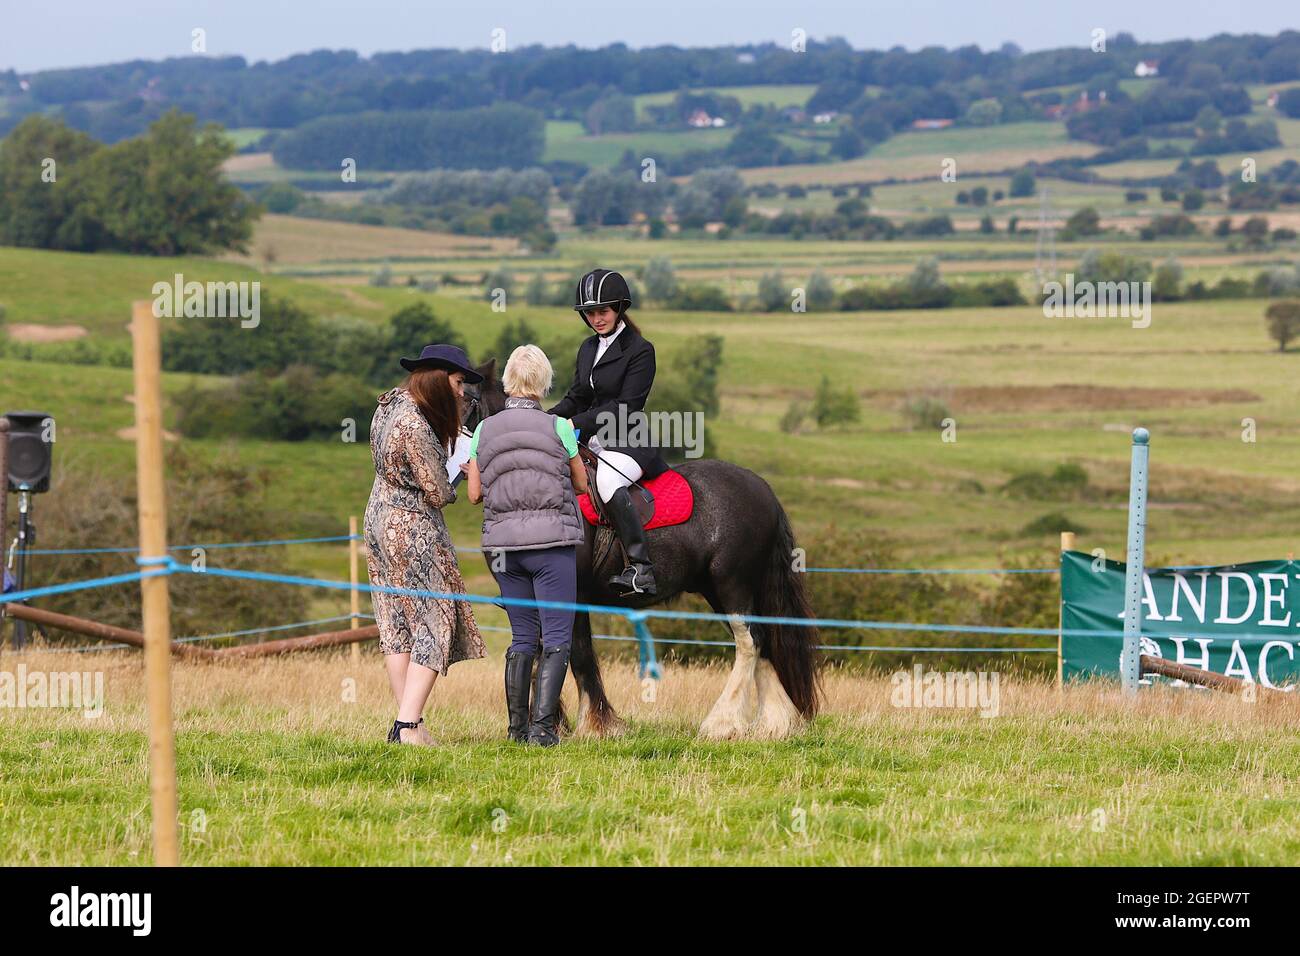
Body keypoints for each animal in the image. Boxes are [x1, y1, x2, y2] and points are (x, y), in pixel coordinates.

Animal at [462, 358, 816, 738]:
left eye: (465, 400)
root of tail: (762, 488)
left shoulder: (572, 590)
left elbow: (578, 653)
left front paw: (597, 725)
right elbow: (536, 650)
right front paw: (549, 723)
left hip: (732, 583)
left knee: (750, 642)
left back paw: (721, 723)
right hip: (718, 589)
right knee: (761, 640)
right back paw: (774, 724)